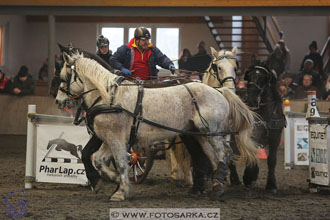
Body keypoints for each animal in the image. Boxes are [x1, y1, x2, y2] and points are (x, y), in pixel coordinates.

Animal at [55, 52, 256, 201]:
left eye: (64, 76)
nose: (58, 100)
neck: (108, 96)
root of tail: (219, 90)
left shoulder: (116, 137)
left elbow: (121, 162)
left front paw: (121, 191)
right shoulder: (108, 138)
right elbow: (98, 159)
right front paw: (113, 180)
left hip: (212, 132)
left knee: (224, 153)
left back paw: (217, 189)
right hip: (201, 135)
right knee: (213, 157)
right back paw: (214, 186)